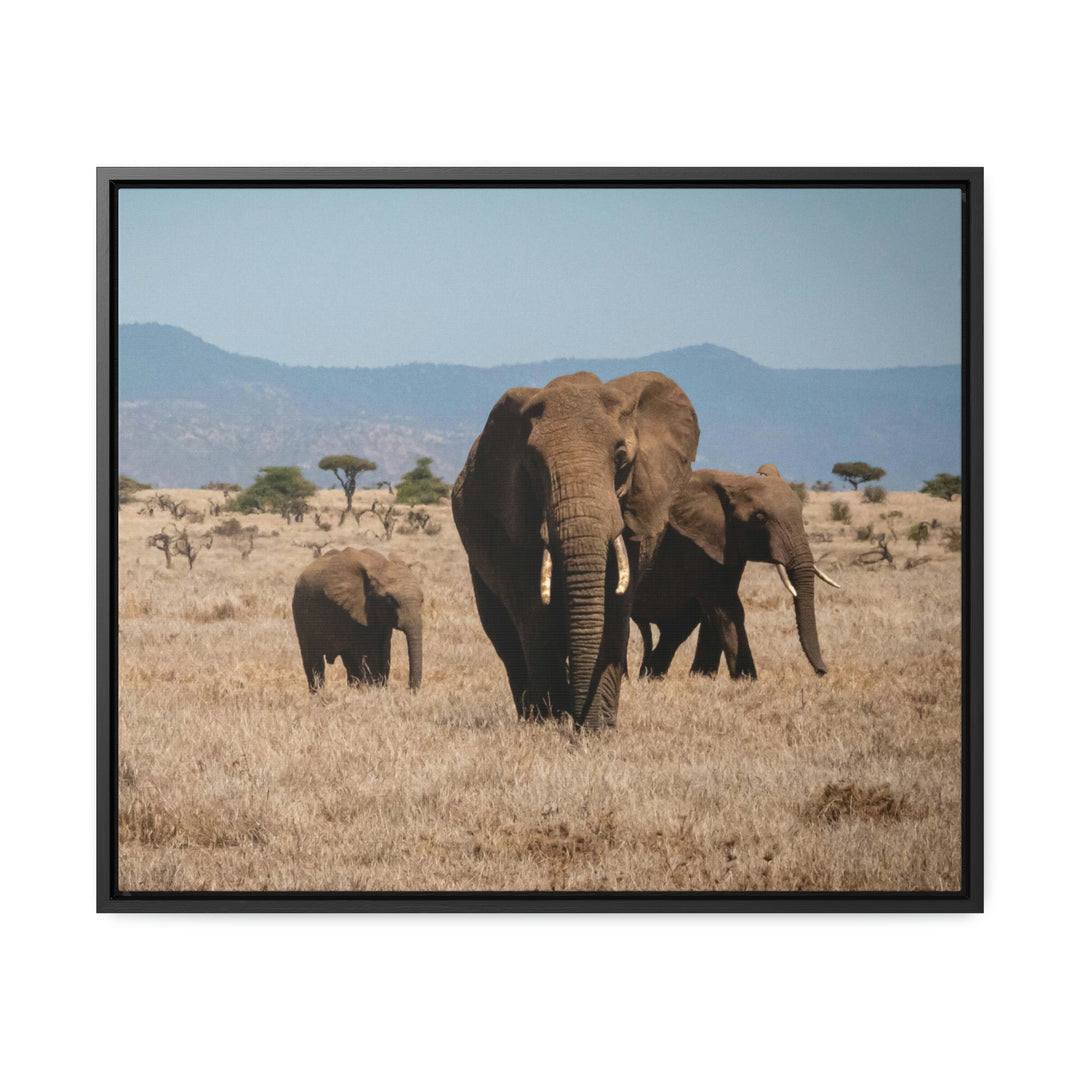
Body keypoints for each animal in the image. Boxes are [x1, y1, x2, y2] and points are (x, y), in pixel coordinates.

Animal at [291, 548, 425, 691]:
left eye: (422, 600)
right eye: (390, 600)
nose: (409, 688)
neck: (379, 566)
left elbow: (384, 652)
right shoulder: (352, 614)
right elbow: (368, 655)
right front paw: (373, 690)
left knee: (349, 662)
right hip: (300, 612)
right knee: (314, 661)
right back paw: (320, 694)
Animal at [449, 367, 695, 730]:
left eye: (621, 456)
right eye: (534, 463)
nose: (577, 723)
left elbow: (615, 609)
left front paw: (596, 728)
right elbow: (533, 613)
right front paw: (553, 721)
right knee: (504, 635)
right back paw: (532, 715)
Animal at [635, 466, 838, 682]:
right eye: (760, 519)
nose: (822, 671)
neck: (734, 481)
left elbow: (717, 609)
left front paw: (703, 678)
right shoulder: (695, 545)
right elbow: (726, 606)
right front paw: (746, 680)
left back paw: (649, 676)